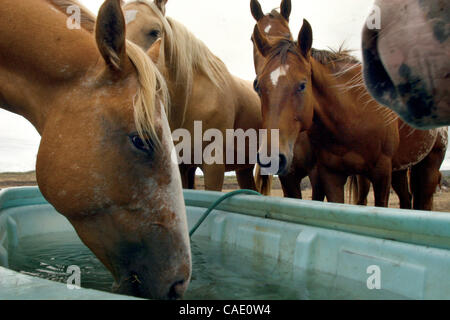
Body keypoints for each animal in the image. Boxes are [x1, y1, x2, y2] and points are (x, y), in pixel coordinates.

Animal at [251, 13, 444, 208]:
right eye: (258, 87)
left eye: (302, 85)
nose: (271, 159)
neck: (352, 115)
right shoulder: (330, 176)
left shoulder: (381, 172)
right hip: (400, 170)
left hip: (429, 166)